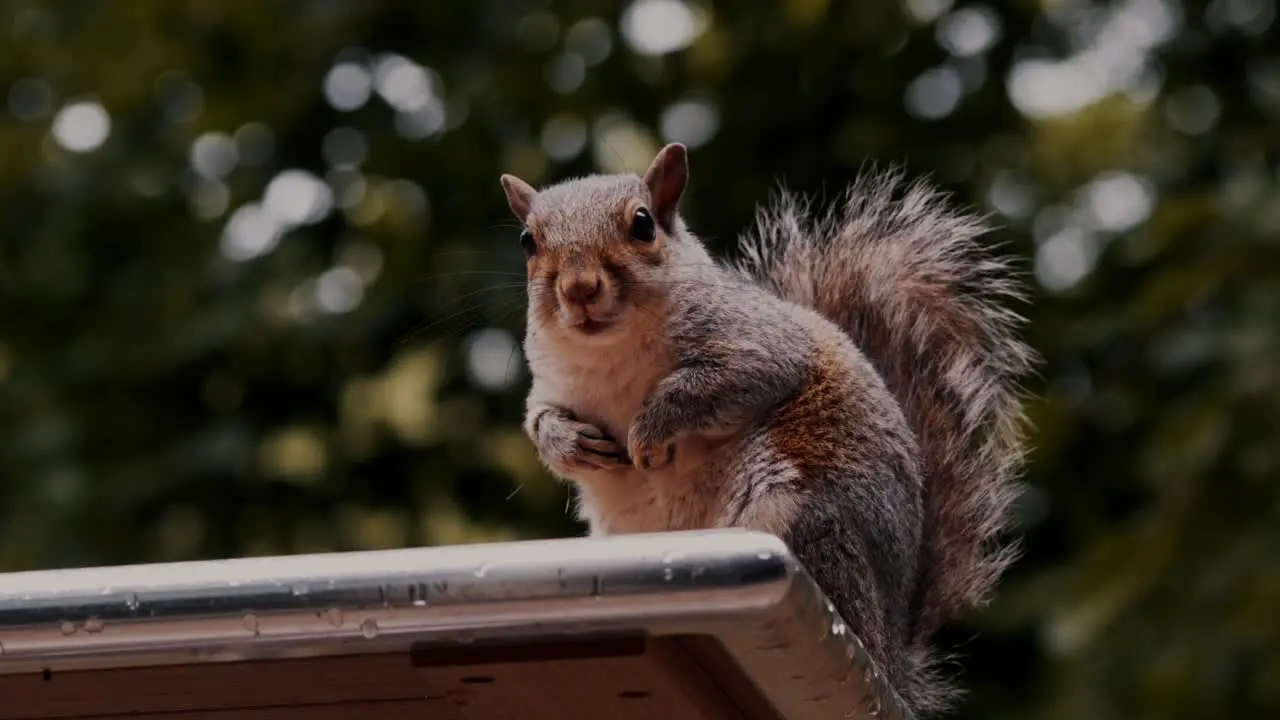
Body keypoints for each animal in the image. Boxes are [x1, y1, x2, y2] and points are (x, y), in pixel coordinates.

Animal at [494, 141, 1034, 712]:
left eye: (642, 224)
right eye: (529, 241)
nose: (578, 289)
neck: (609, 352)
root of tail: (889, 655)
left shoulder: (756, 345)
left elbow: (717, 384)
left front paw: (649, 431)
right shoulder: (551, 387)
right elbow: (540, 421)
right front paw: (572, 443)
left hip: (801, 516)